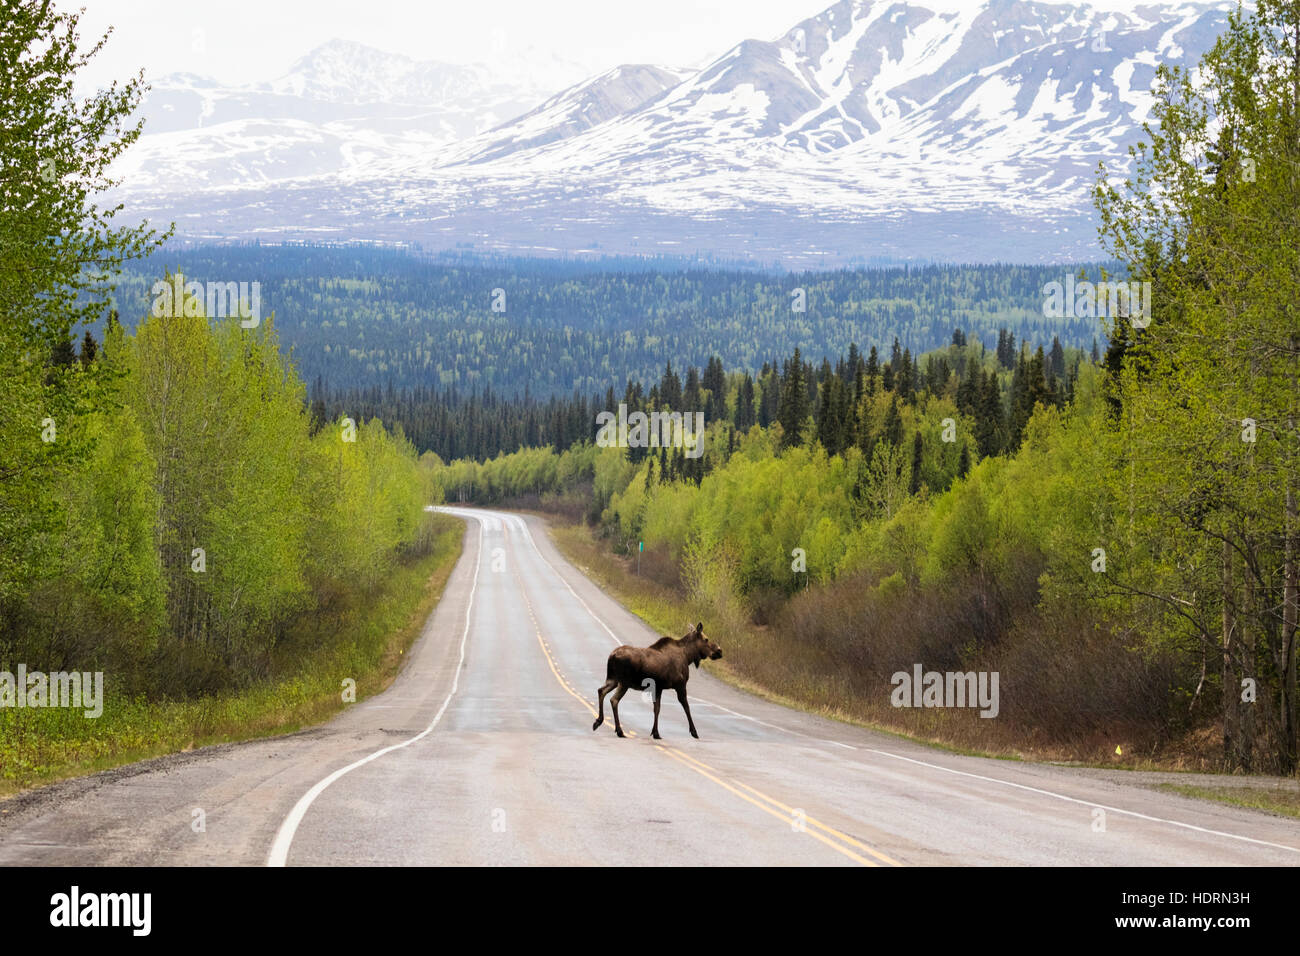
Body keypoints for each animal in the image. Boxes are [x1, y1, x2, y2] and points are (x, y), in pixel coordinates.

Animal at [592, 623, 722, 739]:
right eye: (706, 639)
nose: (719, 651)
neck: (688, 656)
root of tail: (612, 656)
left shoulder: (658, 688)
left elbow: (657, 709)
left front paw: (655, 732)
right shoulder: (680, 685)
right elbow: (686, 707)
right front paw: (694, 732)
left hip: (613, 679)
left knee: (601, 691)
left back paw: (598, 721)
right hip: (624, 683)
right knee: (614, 700)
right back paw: (619, 730)